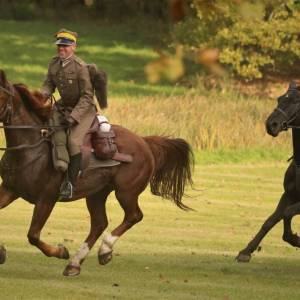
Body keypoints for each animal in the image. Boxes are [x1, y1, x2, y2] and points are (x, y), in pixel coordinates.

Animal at [0, 69, 195, 276]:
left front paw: (61, 251)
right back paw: (75, 263)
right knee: (99, 223)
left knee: (134, 216)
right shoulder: (10, 189)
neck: (30, 149)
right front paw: (1, 252)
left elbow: (33, 235)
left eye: (1, 96)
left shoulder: (46, 199)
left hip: (126, 193)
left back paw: (104, 250)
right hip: (96, 194)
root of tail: (143, 141)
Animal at [238, 82, 300, 262]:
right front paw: (246, 251)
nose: (271, 125)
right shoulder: (288, 195)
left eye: (296, 101)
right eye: (279, 99)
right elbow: (271, 220)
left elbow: (287, 213)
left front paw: (296, 239)